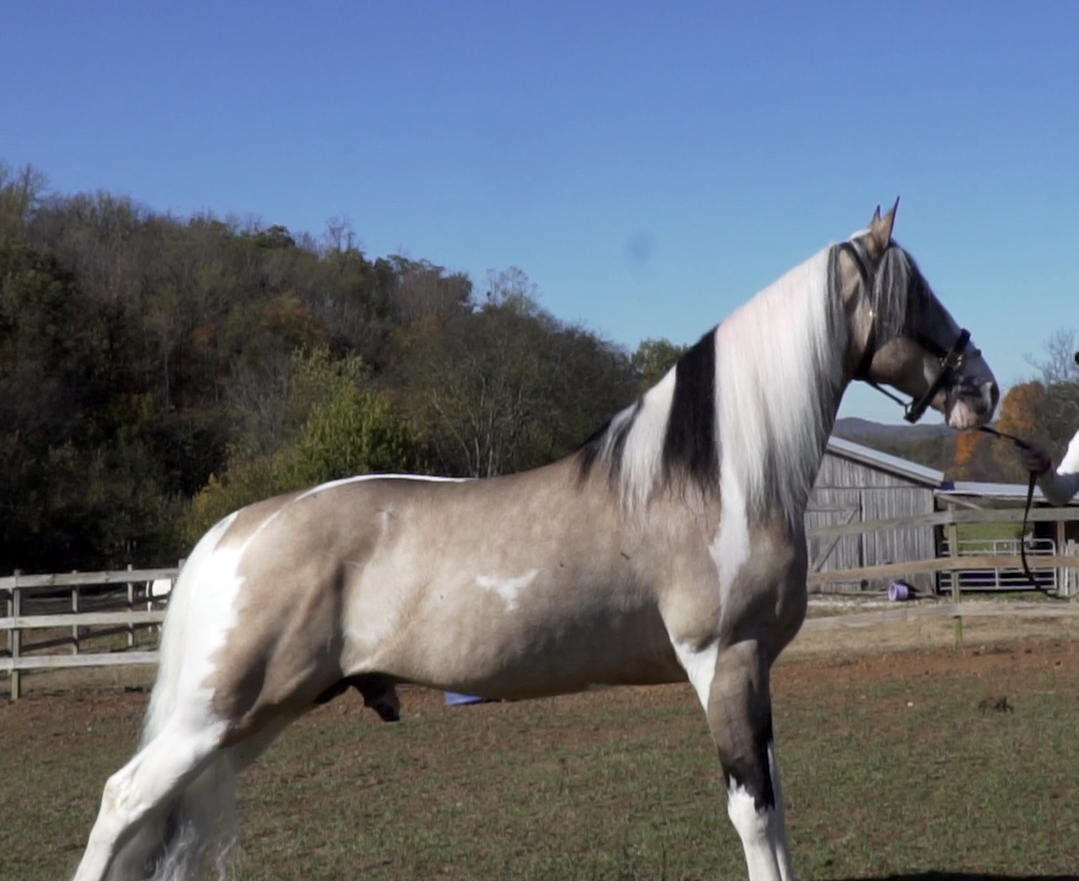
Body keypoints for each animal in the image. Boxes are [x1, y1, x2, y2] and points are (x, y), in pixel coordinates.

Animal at [73, 203, 998, 881]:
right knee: (120, 801)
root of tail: (235, 529)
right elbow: (753, 813)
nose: (983, 388)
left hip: (254, 717)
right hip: (213, 715)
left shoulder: (754, 670)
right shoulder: (724, 660)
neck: (715, 478)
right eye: (915, 294)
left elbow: (776, 802)